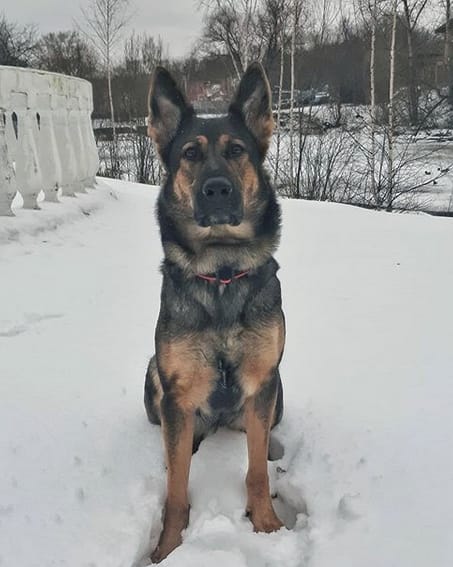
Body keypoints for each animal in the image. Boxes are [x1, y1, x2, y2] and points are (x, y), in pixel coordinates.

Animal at [144, 62, 285, 563]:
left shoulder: (263, 382)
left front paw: (267, 525)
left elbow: (256, 471)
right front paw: (168, 546)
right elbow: (176, 486)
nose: (217, 189)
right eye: (190, 154)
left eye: (237, 151)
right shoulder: (177, 397)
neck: (222, 270)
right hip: (154, 381)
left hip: (278, 393)